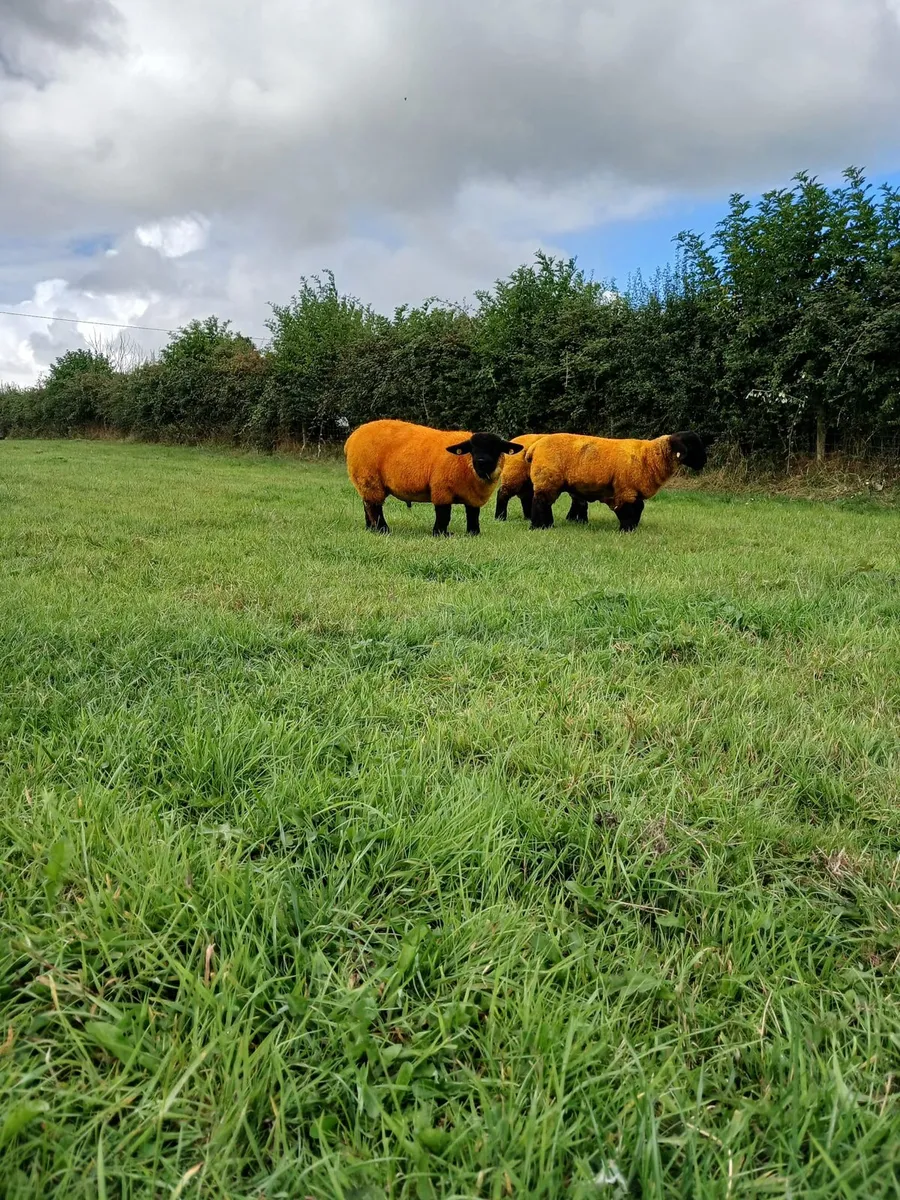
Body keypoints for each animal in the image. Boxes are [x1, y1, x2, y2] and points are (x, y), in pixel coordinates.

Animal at [344, 418, 524, 536]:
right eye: (472, 448)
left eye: (496, 448)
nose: (482, 461)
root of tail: (353, 436)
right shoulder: (441, 489)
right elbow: (444, 514)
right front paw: (441, 534)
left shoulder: (472, 498)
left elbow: (473, 515)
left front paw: (474, 533)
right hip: (370, 479)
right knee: (374, 507)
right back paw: (383, 530)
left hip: (367, 482)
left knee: (367, 504)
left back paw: (371, 529)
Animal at [526, 430, 709, 532]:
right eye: (692, 446)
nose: (704, 462)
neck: (650, 457)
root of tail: (535, 446)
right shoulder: (625, 490)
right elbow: (628, 511)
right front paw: (626, 529)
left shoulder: (633, 491)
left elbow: (638, 508)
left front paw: (633, 528)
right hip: (547, 479)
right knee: (540, 503)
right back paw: (540, 526)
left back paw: (546, 525)